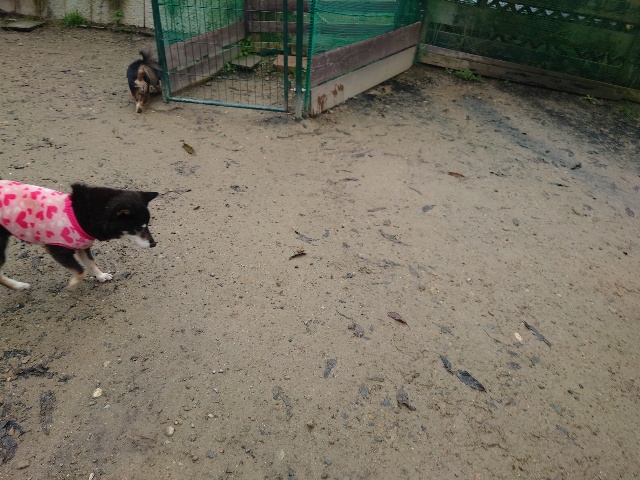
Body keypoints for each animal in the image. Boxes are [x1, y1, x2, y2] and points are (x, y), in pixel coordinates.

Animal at [0, 180, 158, 291]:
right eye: (138, 228)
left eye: (147, 225)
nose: (153, 244)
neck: (82, 215)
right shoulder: (58, 251)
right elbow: (81, 271)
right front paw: (72, 285)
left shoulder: (82, 246)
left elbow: (91, 264)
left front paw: (100, 276)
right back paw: (18, 286)